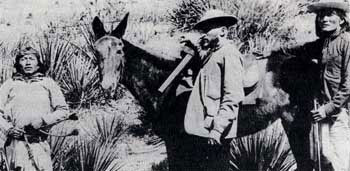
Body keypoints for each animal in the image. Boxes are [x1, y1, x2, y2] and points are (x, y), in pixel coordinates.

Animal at [91, 12, 320, 170]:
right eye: (96, 51)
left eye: (119, 50)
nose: (107, 87)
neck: (165, 86)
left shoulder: (177, 142)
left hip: (296, 123)